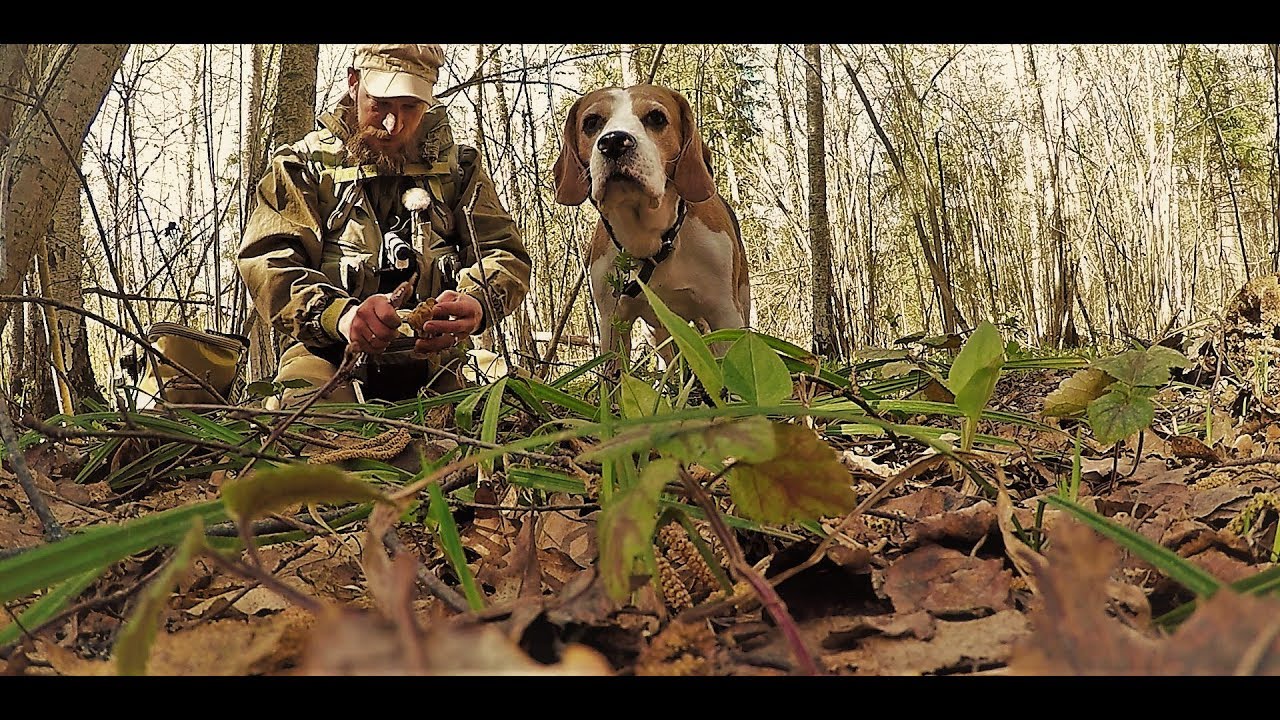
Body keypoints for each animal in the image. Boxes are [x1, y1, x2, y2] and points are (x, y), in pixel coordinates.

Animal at [550, 83, 747, 368]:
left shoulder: (725, 313)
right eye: (591, 122)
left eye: (656, 117)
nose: (613, 142)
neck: (653, 241)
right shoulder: (613, 323)